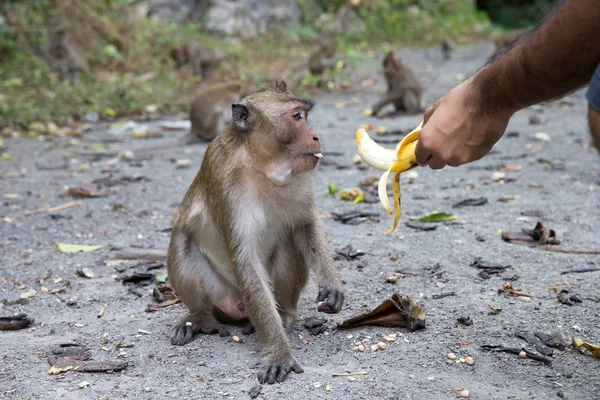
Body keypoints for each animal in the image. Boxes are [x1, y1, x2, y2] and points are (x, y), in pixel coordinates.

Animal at [166, 79, 344, 382]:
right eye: (297, 117)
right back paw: (199, 317)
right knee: (181, 239)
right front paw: (279, 353)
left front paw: (331, 284)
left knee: (288, 240)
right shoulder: (226, 180)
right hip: (221, 294)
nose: (315, 136)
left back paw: (285, 315)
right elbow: (245, 257)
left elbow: (304, 224)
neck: (264, 164)